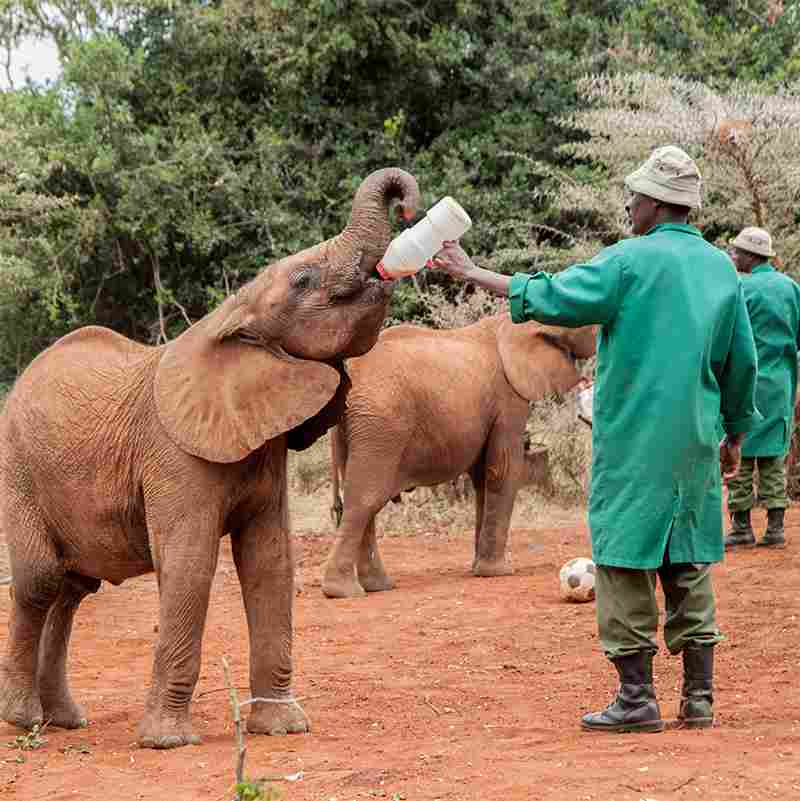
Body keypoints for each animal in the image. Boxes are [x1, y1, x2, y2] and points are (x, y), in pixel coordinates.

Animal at [318, 310, 592, 596]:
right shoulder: (508, 398)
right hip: (381, 425)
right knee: (365, 499)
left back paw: (378, 587)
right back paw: (343, 591)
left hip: (355, 427)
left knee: (362, 498)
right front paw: (497, 572)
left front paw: (478, 569)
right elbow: (502, 470)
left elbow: (482, 479)